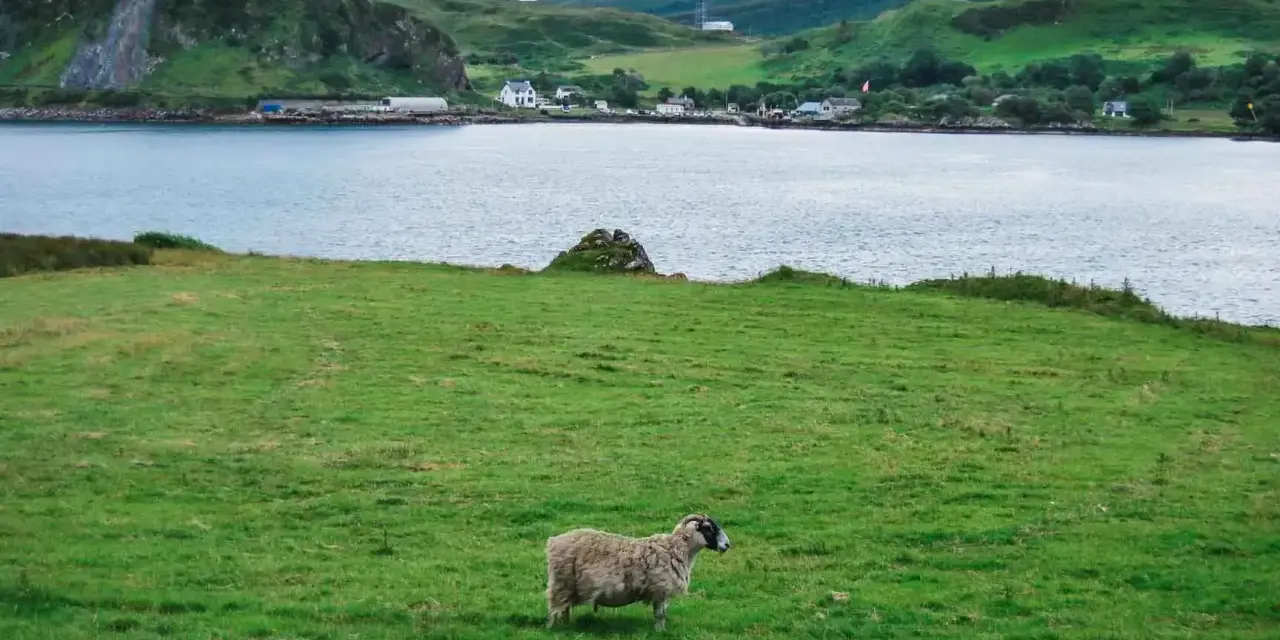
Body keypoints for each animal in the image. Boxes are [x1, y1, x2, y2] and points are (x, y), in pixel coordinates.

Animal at [544, 513, 731, 631]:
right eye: (709, 528)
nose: (727, 545)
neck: (675, 549)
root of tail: (554, 541)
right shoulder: (659, 588)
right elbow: (660, 614)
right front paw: (659, 631)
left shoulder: (660, 592)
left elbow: (662, 614)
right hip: (562, 583)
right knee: (555, 609)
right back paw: (554, 629)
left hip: (568, 587)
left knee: (564, 609)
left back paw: (567, 625)